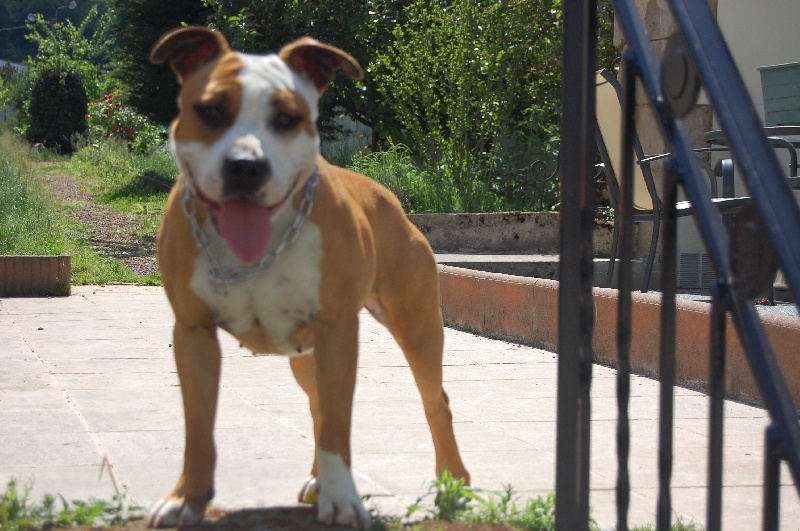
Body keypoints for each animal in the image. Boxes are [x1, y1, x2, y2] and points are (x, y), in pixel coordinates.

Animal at [147, 27, 470, 529]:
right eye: (211, 111)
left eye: (287, 118)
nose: (245, 165)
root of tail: (388, 196)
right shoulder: (193, 333)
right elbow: (198, 428)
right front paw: (186, 500)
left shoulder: (338, 332)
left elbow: (339, 424)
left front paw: (343, 499)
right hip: (305, 355)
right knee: (317, 407)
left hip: (417, 328)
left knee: (435, 402)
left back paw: (452, 482)